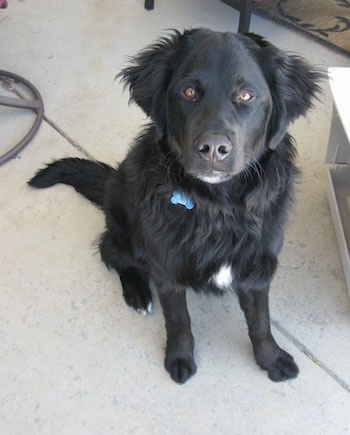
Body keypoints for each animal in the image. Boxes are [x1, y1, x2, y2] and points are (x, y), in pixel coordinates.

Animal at [29, 29, 322, 384]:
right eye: (189, 91)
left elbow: (261, 322)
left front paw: (271, 358)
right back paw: (137, 292)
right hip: (126, 234)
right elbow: (179, 322)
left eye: (247, 95)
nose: (213, 148)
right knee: (109, 252)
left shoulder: (257, 267)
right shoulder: (166, 270)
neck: (218, 208)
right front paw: (180, 358)